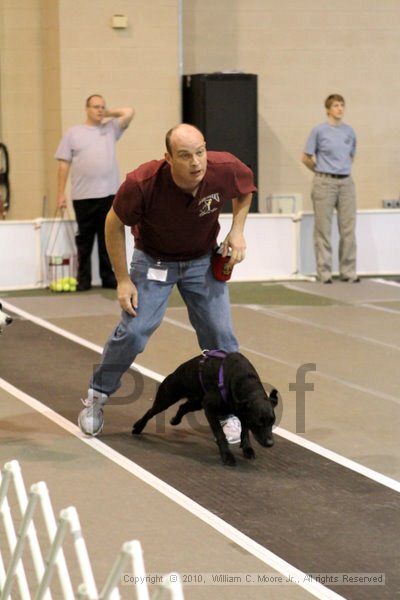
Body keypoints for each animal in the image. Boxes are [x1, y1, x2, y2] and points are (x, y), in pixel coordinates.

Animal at [132, 350, 278, 466]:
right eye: (258, 423)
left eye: (272, 422)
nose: (270, 443)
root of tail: (177, 370)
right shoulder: (210, 409)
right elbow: (220, 434)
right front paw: (227, 456)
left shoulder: (242, 412)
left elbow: (245, 431)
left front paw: (247, 449)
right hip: (167, 398)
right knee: (151, 412)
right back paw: (138, 427)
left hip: (196, 402)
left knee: (183, 406)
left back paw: (175, 420)